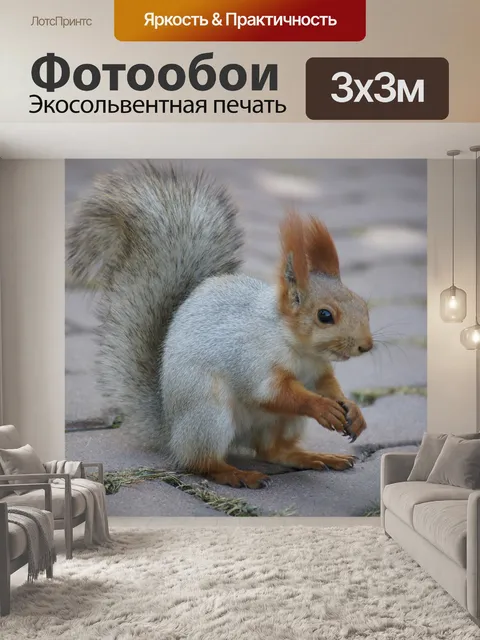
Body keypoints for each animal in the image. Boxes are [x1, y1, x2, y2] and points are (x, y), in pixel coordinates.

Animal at [67, 162, 373, 489]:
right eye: (324, 315)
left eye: (363, 304)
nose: (366, 346)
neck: (299, 349)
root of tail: (171, 429)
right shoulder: (252, 360)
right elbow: (275, 393)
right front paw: (322, 407)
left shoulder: (317, 371)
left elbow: (327, 386)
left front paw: (352, 409)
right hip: (209, 414)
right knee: (199, 462)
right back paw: (236, 474)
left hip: (281, 421)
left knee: (273, 450)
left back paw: (314, 457)